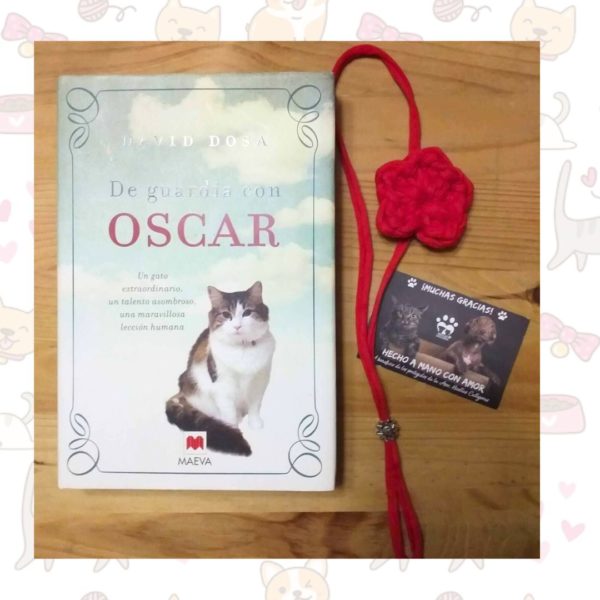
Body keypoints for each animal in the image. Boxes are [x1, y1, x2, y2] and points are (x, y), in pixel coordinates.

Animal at [166, 281, 275, 456]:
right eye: (226, 314)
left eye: (247, 313)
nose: (237, 326)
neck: (242, 348)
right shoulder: (223, 386)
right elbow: (229, 412)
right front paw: (233, 430)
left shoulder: (260, 381)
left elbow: (255, 405)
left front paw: (255, 423)